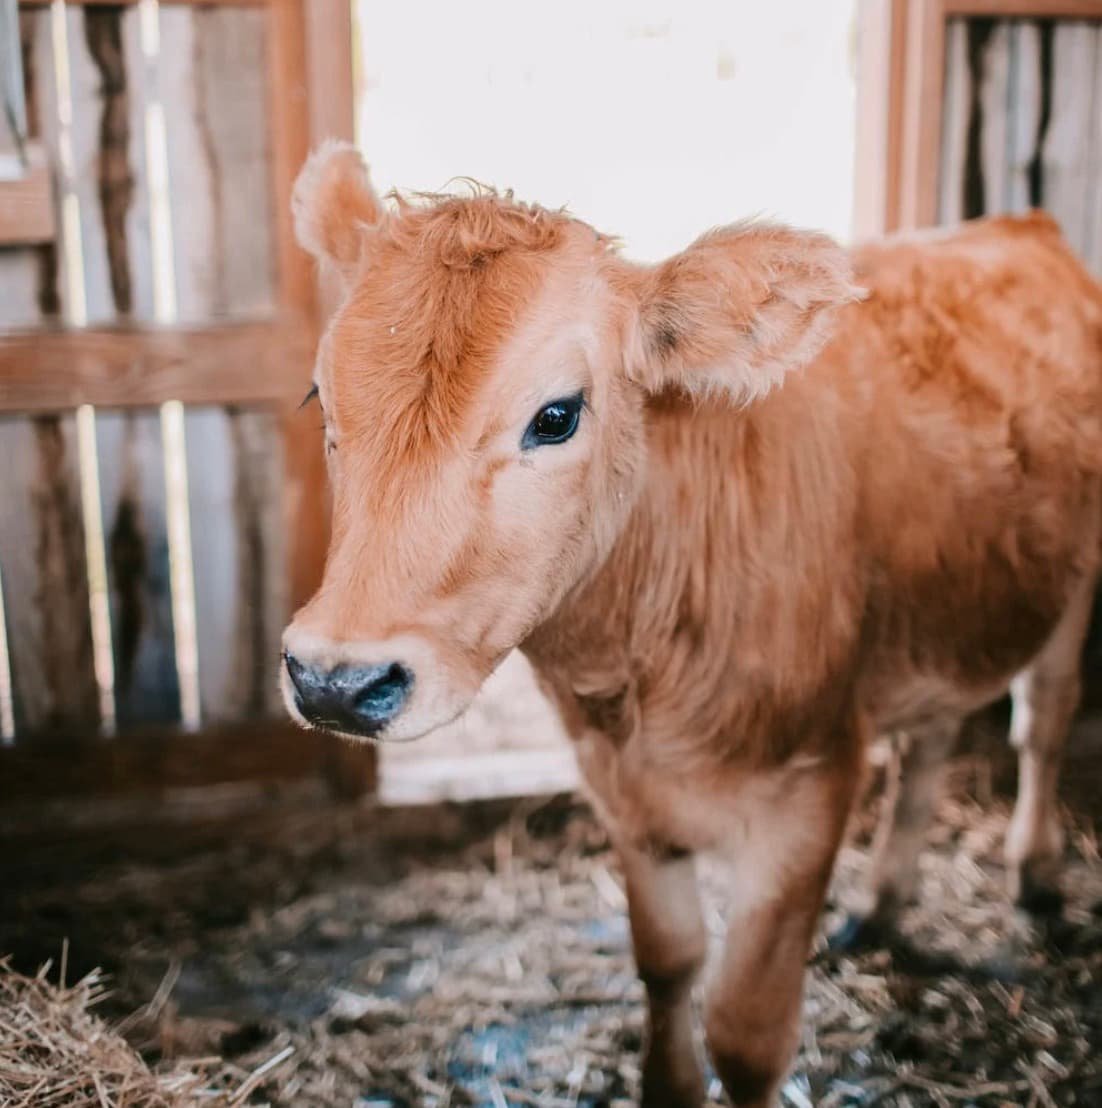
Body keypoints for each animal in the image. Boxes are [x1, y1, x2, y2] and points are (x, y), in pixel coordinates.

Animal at [280, 141, 1102, 1107]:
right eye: (320, 400)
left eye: (556, 415)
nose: (336, 680)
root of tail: (1020, 225)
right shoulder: (623, 795)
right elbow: (668, 964)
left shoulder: (810, 790)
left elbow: (746, 1034)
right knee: (930, 741)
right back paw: (883, 903)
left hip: (1075, 581)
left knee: (1042, 721)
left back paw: (1036, 876)